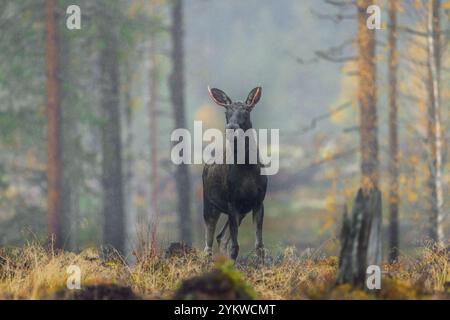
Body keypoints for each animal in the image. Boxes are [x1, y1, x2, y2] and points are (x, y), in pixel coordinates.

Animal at [201, 86, 268, 262]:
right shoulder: (232, 201)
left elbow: (259, 245)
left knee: (221, 237)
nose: (231, 127)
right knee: (208, 242)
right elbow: (235, 246)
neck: (247, 169)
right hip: (209, 203)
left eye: (246, 110)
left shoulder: (258, 201)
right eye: (226, 111)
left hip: (242, 211)